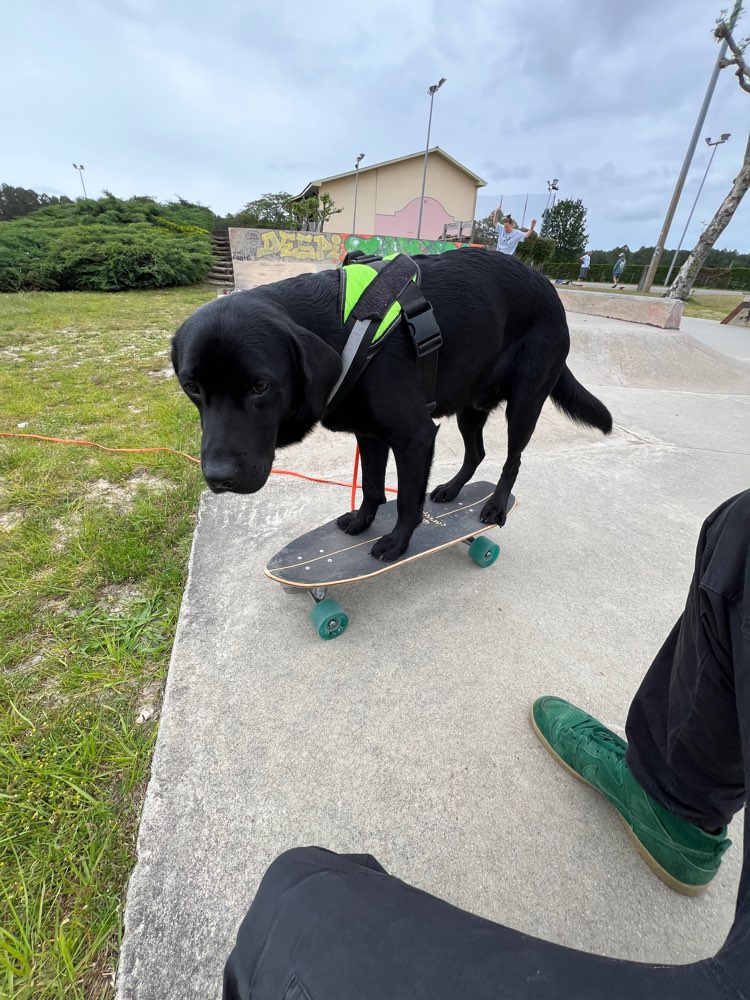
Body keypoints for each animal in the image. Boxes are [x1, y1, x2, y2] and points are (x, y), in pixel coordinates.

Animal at [173, 248, 612, 564]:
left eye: (260, 386)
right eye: (192, 386)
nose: (219, 478)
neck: (344, 328)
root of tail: (550, 290)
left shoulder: (414, 435)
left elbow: (405, 499)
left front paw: (398, 542)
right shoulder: (369, 434)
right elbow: (371, 485)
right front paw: (362, 520)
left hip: (523, 403)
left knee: (512, 460)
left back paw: (495, 505)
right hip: (470, 405)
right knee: (477, 451)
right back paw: (452, 489)